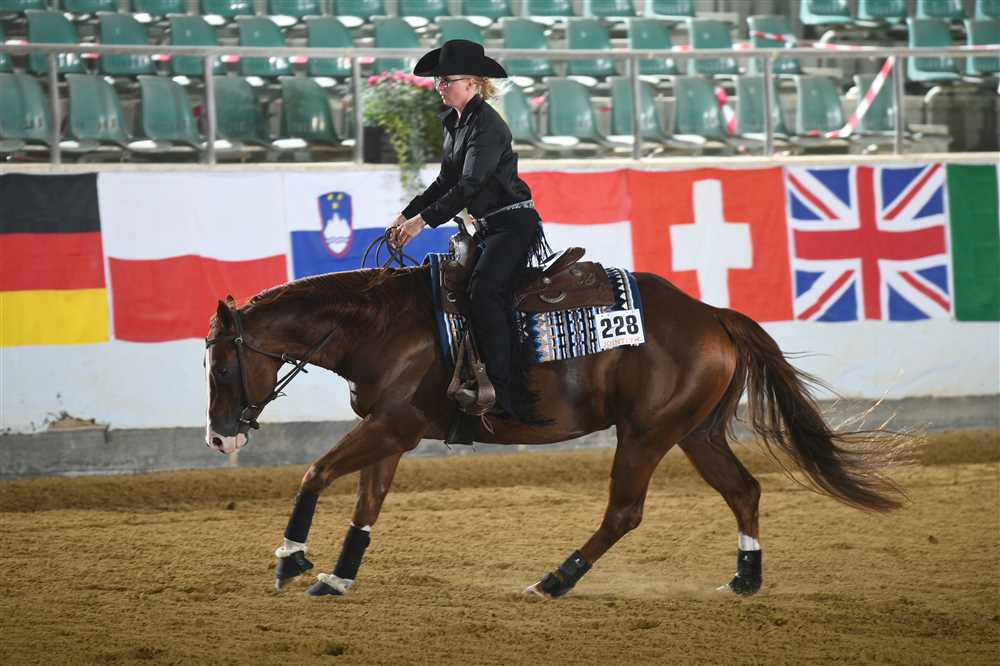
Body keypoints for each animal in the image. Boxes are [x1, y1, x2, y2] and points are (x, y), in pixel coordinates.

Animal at [204, 263, 906, 599]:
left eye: (221, 364)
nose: (220, 438)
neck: (385, 326)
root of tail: (711, 314)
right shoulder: (388, 431)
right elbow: (365, 507)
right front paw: (337, 577)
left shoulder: (392, 426)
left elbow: (314, 472)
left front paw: (292, 560)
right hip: (695, 433)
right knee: (744, 490)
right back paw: (745, 579)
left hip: (645, 434)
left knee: (624, 512)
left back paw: (555, 581)